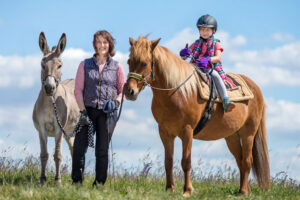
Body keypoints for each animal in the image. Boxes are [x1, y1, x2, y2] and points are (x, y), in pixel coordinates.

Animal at [32, 32, 79, 184]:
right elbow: (44, 155)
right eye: (42, 65)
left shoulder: (59, 129)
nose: (49, 87)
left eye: (59, 66)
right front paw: (42, 180)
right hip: (69, 134)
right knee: (74, 150)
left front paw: (57, 181)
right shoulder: (42, 129)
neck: (49, 103)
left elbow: (57, 155)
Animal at [123, 36, 270, 197]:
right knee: (241, 160)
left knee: (247, 160)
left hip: (248, 133)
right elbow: (168, 162)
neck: (177, 92)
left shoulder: (187, 131)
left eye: (144, 63)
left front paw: (187, 190)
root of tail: (255, 88)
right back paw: (243, 190)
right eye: (129, 61)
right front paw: (169, 189)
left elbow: (186, 162)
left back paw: (243, 191)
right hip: (232, 137)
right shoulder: (165, 132)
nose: (129, 91)